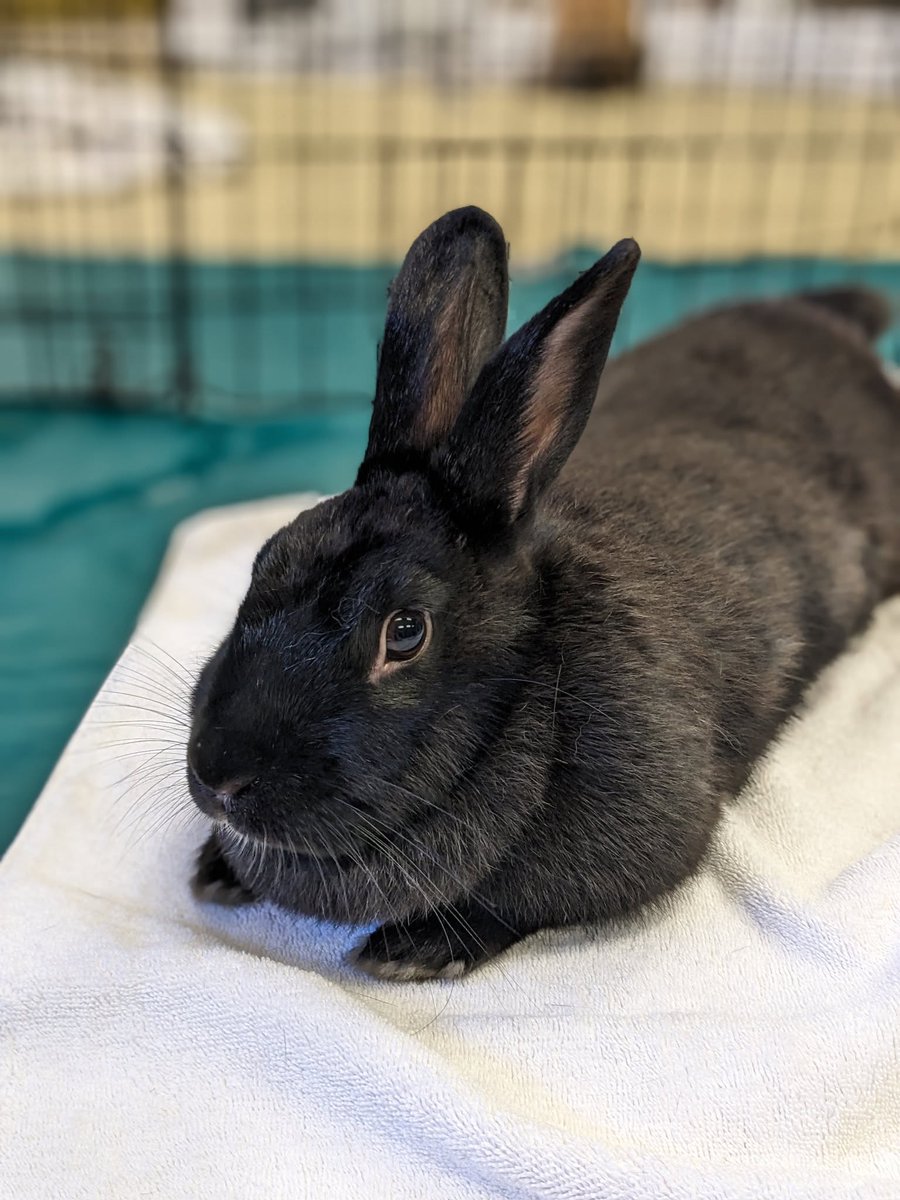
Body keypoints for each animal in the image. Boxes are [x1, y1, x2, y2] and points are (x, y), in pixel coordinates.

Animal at [185, 205, 900, 981]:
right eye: (264, 560)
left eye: (404, 632)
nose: (219, 781)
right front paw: (215, 870)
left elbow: (518, 909)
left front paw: (413, 951)